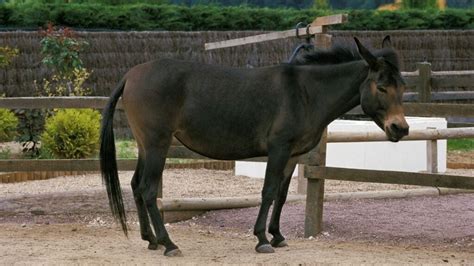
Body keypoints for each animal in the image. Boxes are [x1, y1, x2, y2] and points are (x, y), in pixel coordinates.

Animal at [101, 35, 412, 256]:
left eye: (402, 87)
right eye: (381, 87)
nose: (401, 128)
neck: (306, 92)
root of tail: (131, 75)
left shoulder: (293, 155)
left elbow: (282, 195)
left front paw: (278, 236)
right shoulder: (278, 150)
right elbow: (268, 191)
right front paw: (262, 239)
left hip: (145, 146)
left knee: (136, 186)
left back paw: (151, 240)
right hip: (157, 144)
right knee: (148, 189)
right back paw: (168, 244)